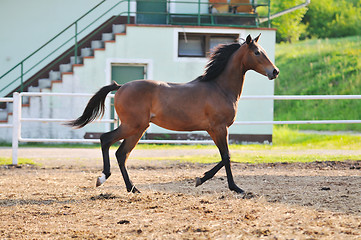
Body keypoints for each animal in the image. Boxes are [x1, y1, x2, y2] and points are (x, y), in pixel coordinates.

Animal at [67, 33, 278, 194]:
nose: (274, 71)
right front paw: (233, 187)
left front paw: (204, 179)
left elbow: (224, 157)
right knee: (106, 140)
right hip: (132, 126)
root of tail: (120, 87)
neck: (219, 87)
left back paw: (133, 188)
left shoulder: (216, 130)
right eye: (257, 53)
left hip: (138, 129)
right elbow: (226, 157)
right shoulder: (218, 128)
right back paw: (103, 178)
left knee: (121, 153)